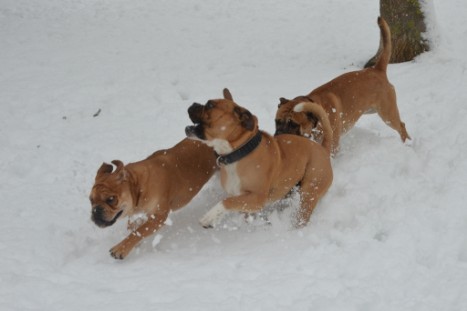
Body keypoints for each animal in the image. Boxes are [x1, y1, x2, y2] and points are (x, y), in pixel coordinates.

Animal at [89, 140, 218, 260]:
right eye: (91, 200)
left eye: (110, 199)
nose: (96, 210)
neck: (137, 185)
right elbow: (134, 227)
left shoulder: (159, 216)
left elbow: (139, 231)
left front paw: (121, 248)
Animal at [185, 89, 334, 228]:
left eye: (210, 105)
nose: (192, 104)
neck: (239, 152)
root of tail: (323, 149)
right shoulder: (242, 199)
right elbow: (237, 206)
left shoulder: (256, 198)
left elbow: (227, 202)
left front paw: (209, 217)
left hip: (309, 191)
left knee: (303, 215)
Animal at [276, 17, 412, 155]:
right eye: (276, 122)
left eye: (293, 124)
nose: (278, 136)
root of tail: (376, 69)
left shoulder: (333, 147)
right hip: (372, 110)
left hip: (387, 113)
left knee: (401, 126)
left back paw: (408, 143)